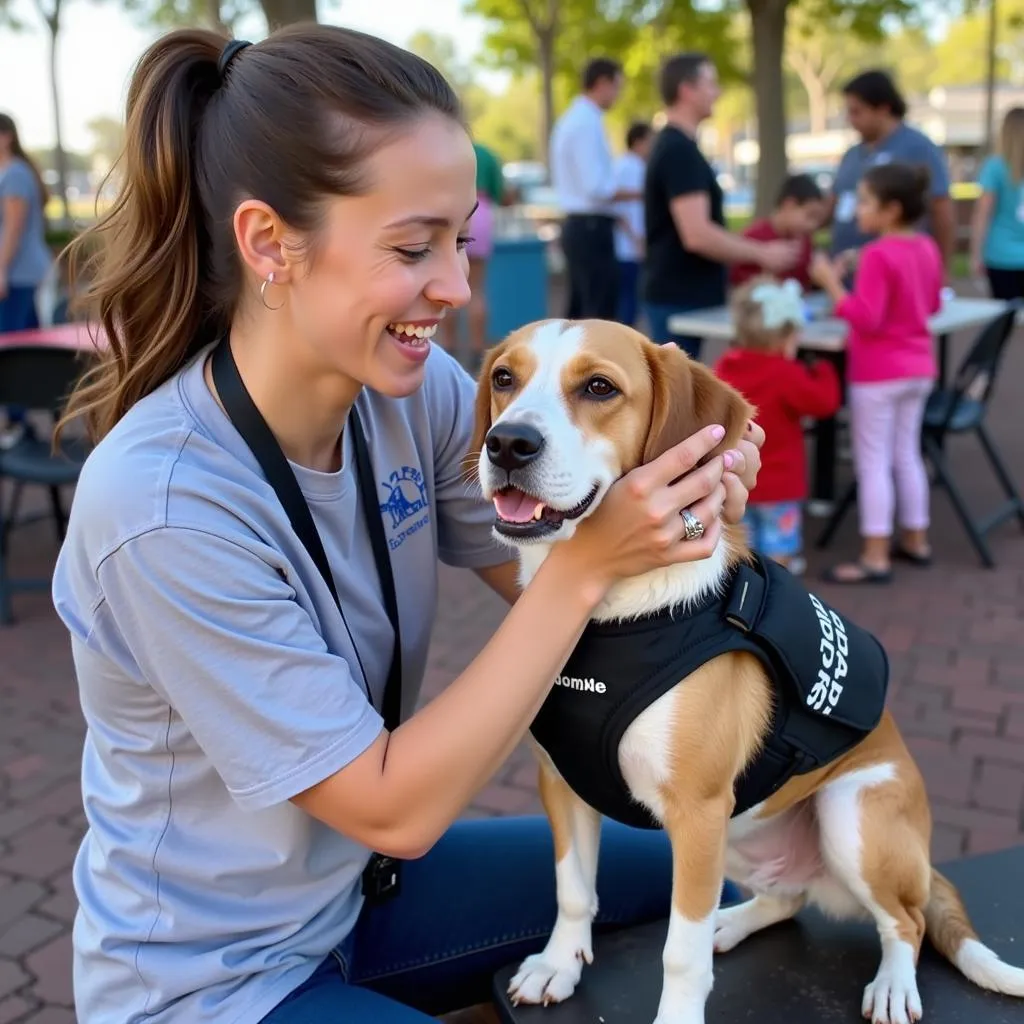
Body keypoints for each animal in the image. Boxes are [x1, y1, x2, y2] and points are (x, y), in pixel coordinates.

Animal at [468, 319, 1019, 1024]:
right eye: (503, 378)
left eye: (599, 388)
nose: (508, 442)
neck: (607, 612)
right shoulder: (564, 785)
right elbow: (572, 891)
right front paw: (558, 966)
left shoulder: (697, 811)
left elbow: (678, 952)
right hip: (737, 832)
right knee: (788, 899)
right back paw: (730, 923)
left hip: (846, 811)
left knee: (908, 920)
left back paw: (894, 984)